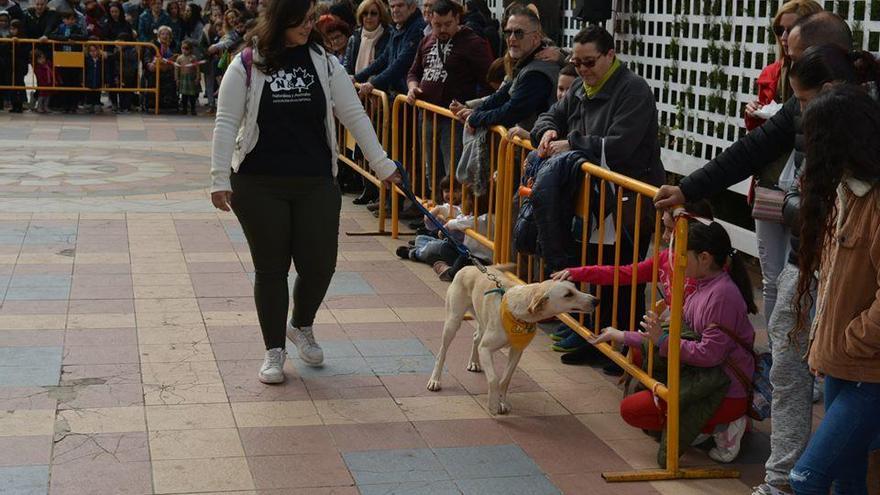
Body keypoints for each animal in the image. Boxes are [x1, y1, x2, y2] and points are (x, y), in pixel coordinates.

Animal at [428, 268, 600, 414]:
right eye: (568, 294)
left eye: (576, 287)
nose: (596, 300)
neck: (519, 314)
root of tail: (469, 266)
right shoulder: (486, 349)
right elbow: (493, 378)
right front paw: (493, 404)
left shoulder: (517, 351)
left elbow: (505, 379)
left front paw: (502, 402)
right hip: (453, 322)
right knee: (442, 353)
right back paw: (435, 380)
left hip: (482, 321)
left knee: (476, 337)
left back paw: (474, 362)